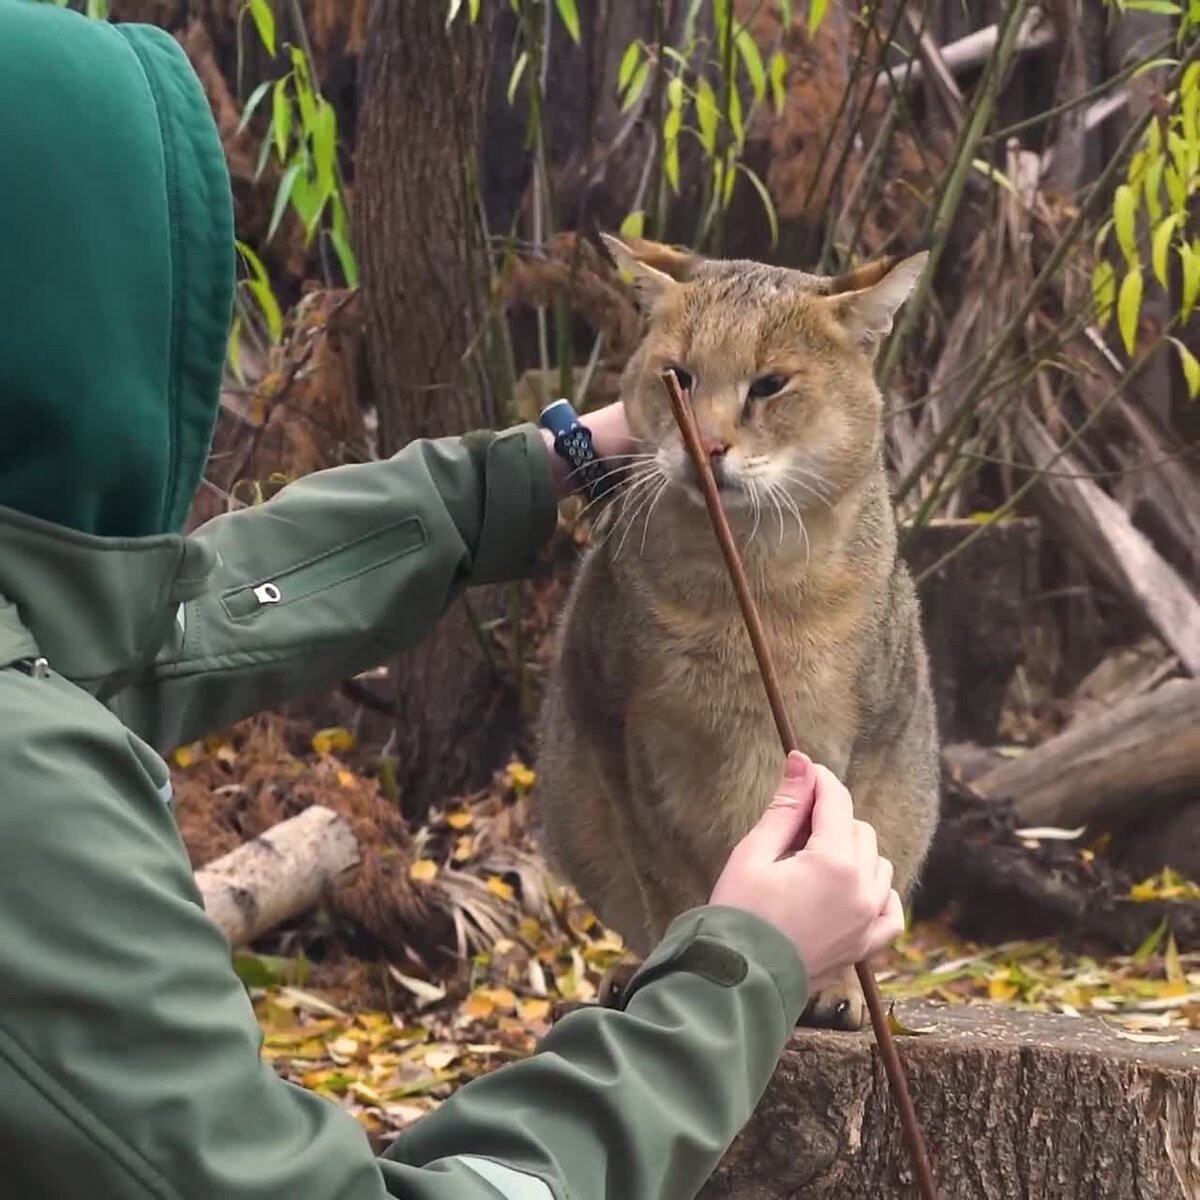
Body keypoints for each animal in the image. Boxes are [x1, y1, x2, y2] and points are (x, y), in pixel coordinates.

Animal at [535, 236, 936, 1032]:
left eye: (770, 385)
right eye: (681, 376)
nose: (707, 446)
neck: (748, 580)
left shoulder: (870, 738)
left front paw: (841, 986)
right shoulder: (617, 732)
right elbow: (670, 884)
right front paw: (677, 964)